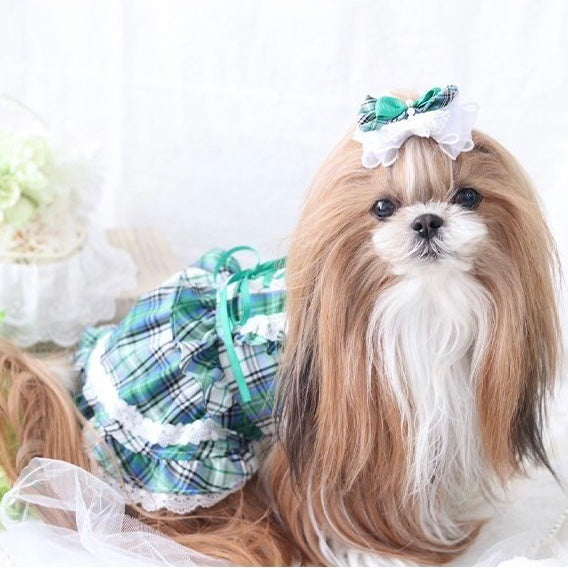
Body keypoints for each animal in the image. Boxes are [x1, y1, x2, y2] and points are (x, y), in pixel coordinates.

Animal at [0, 83, 560, 564]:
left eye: (468, 196)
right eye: (382, 207)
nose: (426, 220)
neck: (422, 301)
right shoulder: (342, 451)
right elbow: (342, 519)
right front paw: (384, 553)